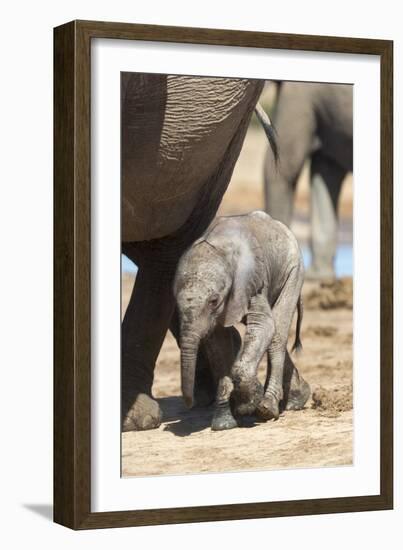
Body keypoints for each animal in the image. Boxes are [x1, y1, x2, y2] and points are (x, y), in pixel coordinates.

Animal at [173, 211, 310, 432]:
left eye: (213, 301)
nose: (190, 403)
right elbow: (217, 344)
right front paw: (225, 423)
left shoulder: (251, 281)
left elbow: (264, 326)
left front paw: (247, 405)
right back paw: (297, 399)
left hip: (293, 270)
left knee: (277, 334)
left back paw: (267, 408)